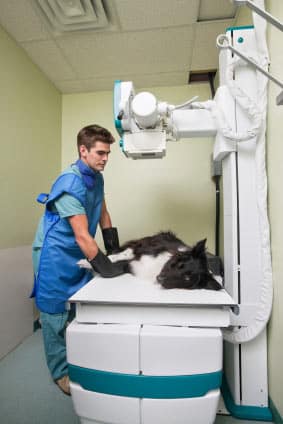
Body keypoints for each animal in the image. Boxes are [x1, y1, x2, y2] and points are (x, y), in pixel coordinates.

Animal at [79, 232, 223, 292]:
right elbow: (119, 256)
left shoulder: (130, 265)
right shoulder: (143, 248)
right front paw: (85, 262)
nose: (160, 278)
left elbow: (111, 267)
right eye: (180, 265)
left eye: (187, 279)